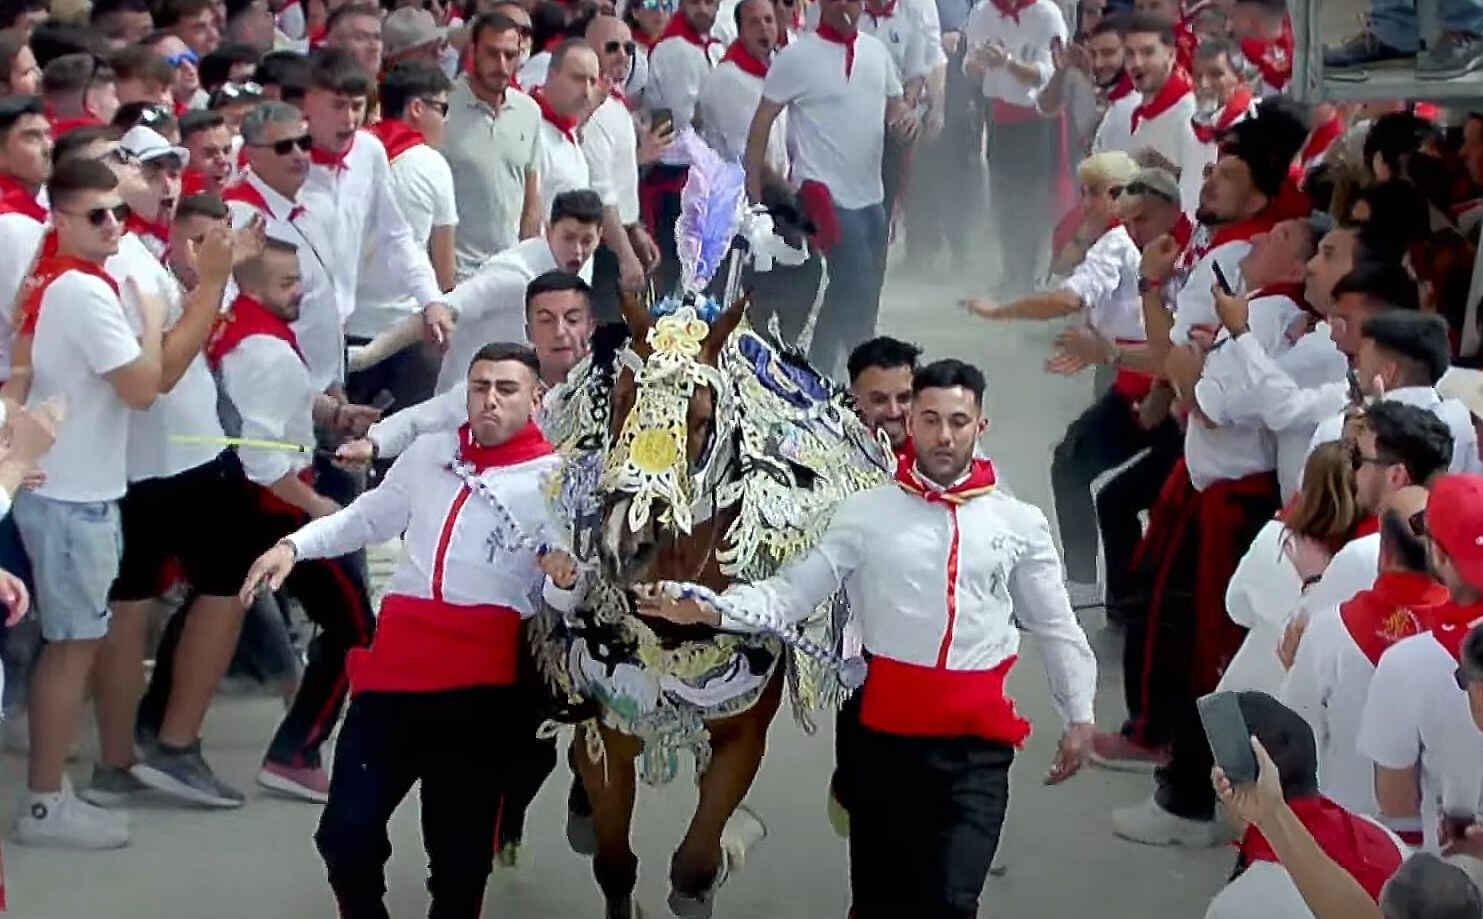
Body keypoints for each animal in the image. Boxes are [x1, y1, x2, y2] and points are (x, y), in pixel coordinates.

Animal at [569, 290, 788, 913]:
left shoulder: (742, 735)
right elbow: (615, 865)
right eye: (619, 399)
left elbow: (693, 868)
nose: (624, 542)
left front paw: (718, 862)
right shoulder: (610, 730)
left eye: (702, 419)